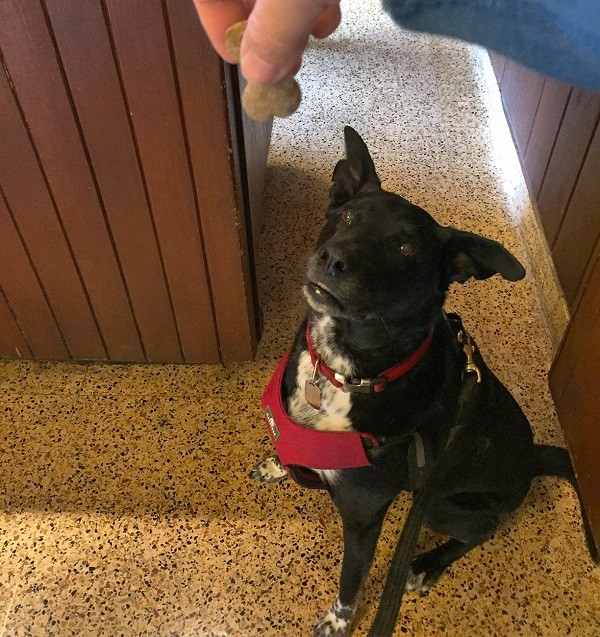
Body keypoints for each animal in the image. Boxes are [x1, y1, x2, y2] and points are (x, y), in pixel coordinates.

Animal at [250, 126, 596, 632]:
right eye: (347, 216)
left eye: (405, 249)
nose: (331, 259)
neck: (347, 372)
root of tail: (534, 458)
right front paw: (278, 464)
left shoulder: (364, 518)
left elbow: (351, 582)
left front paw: (339, 621)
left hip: (437, 505)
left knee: (480, 530)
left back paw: (427, 565)